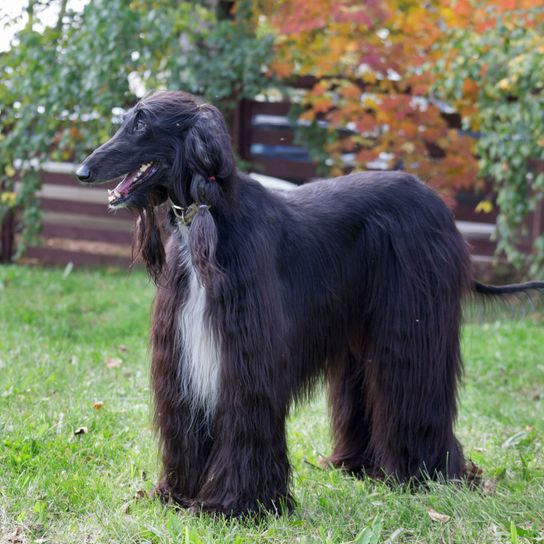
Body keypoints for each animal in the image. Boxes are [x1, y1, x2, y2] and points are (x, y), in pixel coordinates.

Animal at [76, 91, 544, 516]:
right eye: (126, 119)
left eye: (142, 123)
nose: (83, 171)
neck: (206, 221)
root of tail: (440, 207)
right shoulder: (182, 355)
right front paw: (175, 496)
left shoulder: (248, 353)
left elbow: (248, 420)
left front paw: (238, 505)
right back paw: (359, 466)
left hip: (412, 323)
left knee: (414, 388)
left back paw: (427, 474)